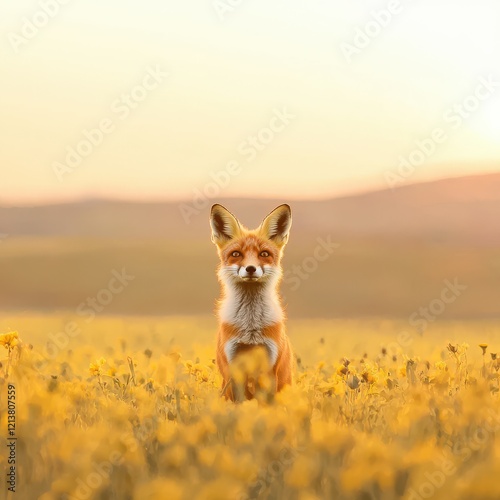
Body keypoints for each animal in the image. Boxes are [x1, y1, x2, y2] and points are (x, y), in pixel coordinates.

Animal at [210, 203, 294, 402]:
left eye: (264, 254)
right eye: (236, 254)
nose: (250, 268)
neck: (250, 326)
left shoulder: (270, 366)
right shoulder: (232, 365)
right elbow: (239, 402)